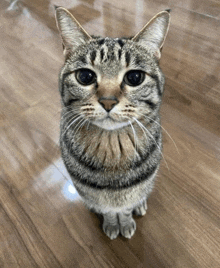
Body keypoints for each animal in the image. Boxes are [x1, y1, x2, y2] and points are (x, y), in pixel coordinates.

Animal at [54, 7, 170, 240]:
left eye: (134, 77)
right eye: (85, 76)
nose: (108, 101)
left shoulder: (134, 190)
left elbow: (125, 209)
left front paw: (125, 223)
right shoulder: (92, 192)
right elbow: (107, 210)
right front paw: (111, 224)